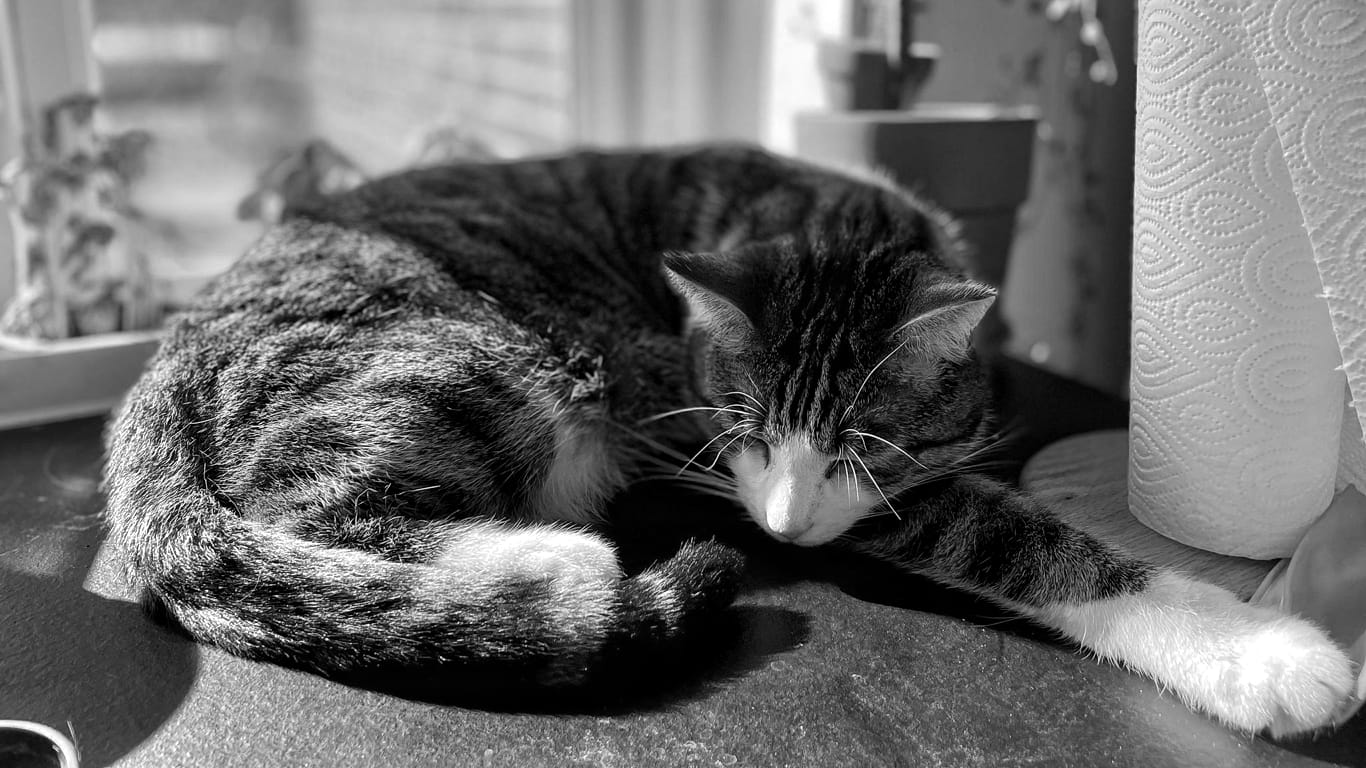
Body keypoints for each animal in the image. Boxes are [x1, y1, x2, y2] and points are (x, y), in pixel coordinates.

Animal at [99, 140, 1355, 732]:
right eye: (738, 434)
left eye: (859, 448)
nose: (788, 530)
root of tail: (152, 385)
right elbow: (1021, 541)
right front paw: (1263, 655)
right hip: (460, 361)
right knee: (320, 524)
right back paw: (546, 568)